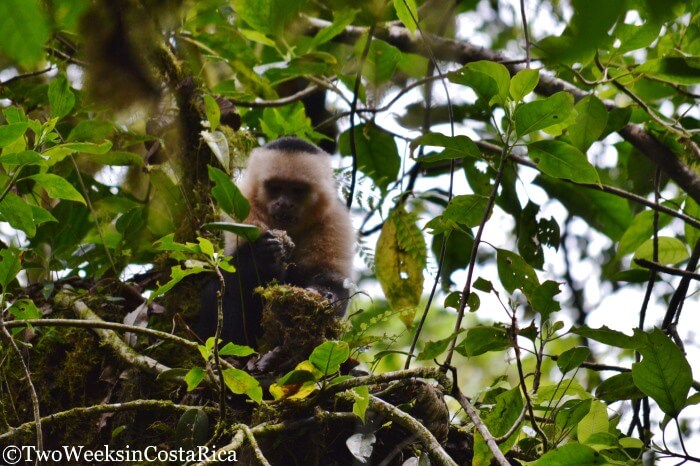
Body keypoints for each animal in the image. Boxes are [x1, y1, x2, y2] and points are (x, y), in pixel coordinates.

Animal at [196, 138, 356, 350]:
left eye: (297, 190)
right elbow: (236, 275)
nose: (285, 203)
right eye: (275, 187)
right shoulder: (246, 206)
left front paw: (327, 296)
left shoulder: (334, 217)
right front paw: (263, 256)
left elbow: (332, 277)